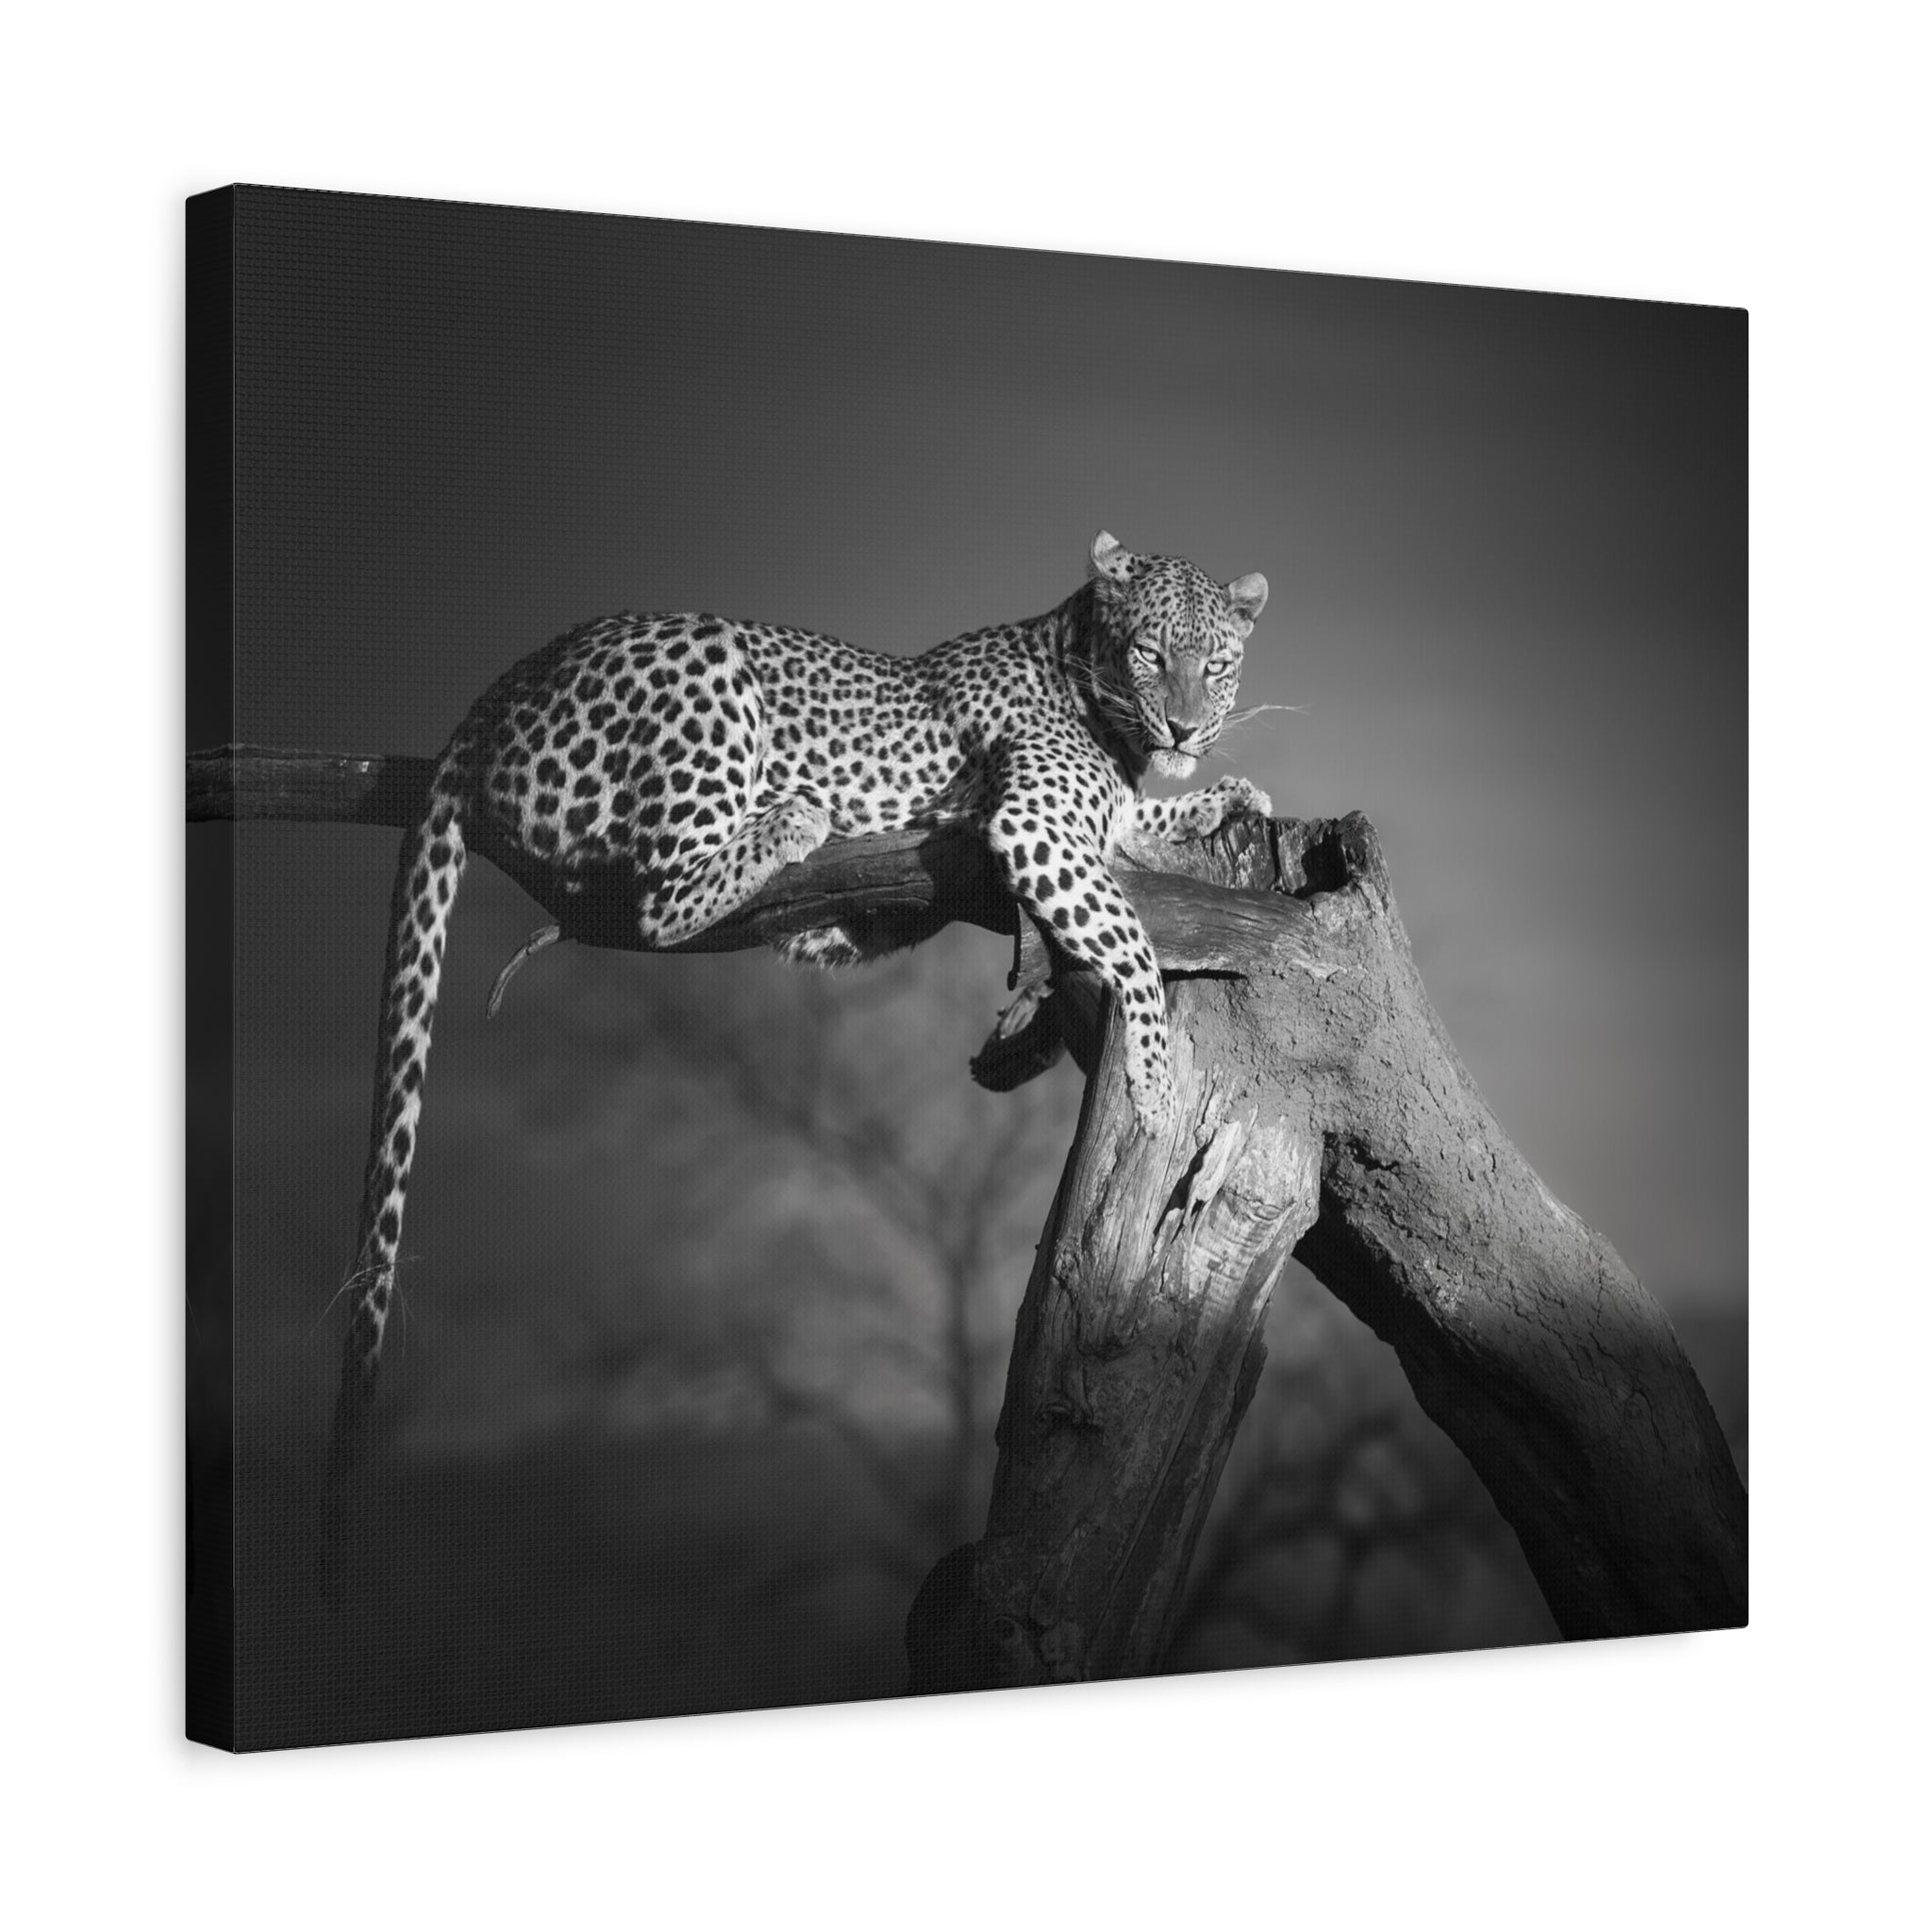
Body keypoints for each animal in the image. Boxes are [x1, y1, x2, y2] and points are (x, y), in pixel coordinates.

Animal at [325, 530, 1270, 1503]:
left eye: (1217, 664)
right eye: (1152, 654)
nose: (1186, 729)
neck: (1096, 691)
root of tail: (503, 686)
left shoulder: (1093, 822)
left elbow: (1140, 825)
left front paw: (1226, 797)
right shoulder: (1036, 824)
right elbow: (1134, 944)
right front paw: (1154, 1081)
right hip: (702, 676)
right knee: (658, 900)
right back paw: (794, 817)